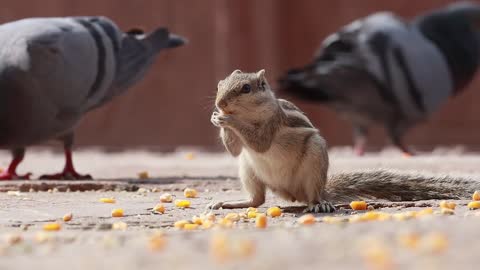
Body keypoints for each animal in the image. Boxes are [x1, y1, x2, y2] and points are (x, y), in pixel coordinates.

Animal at [209, 69, 480, 213]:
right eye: (220, 84)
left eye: (246, 88)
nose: (220, 103)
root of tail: (292, 194)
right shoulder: (240, 151)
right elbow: (235, 150)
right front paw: (217, 117)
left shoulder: (273, 123)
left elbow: (260, 142)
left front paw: (227, 119)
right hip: (248, 168)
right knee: (258, 199)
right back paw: (232, 203)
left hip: (314, 160)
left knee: (313, 197)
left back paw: (320, 205)